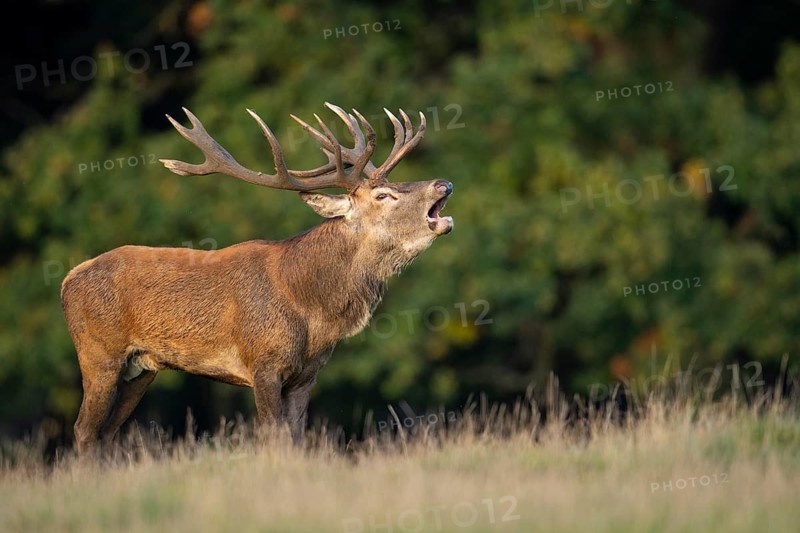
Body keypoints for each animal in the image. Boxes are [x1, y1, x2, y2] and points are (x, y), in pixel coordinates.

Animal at [61, 103, 453, 453]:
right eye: (383, 195)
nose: (443, 183)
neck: (312, 311)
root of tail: (67, 281)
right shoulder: (263, 363)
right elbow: (274, 437)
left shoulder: (306, 375)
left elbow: (296, 438)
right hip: (99, 353)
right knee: (84, 430)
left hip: (141, 369)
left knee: (106, 432)